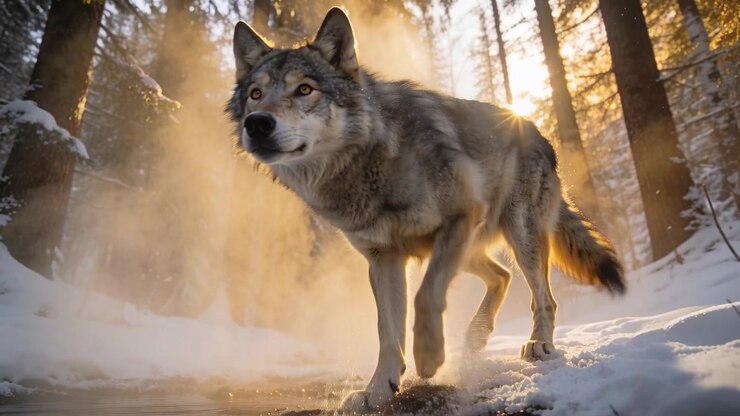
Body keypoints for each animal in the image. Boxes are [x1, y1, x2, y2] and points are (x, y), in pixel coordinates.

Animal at [227, 8, 625, 412]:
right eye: (256, 94)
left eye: (305, 89)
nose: (257, 123)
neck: (371, 163)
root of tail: (535, 128)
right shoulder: (383, 258)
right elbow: (386, 331)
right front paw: (378, 389)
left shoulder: (458, 217)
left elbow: (426, 295)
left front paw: (430, 357)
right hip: (468, 249)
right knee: (501, 277)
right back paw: (476, 339)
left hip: (517, 234)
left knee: (543, 297)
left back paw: (538, 343)